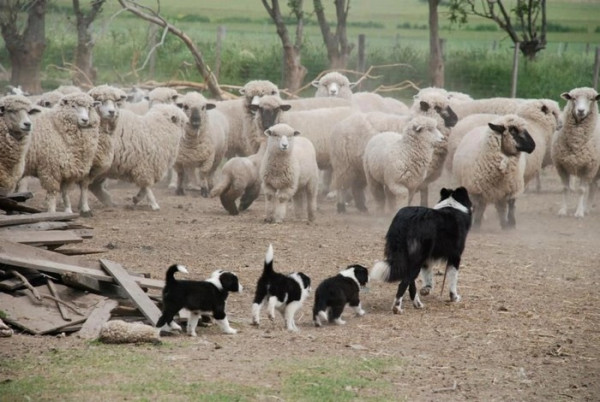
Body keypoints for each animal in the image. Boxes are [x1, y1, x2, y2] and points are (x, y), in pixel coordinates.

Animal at [77, 85, 127, 217]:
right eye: (100, 100)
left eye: (115, 101)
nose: (112, 112)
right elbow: (83, 185)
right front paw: (85, 209)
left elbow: (84, 184)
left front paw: (81, 206)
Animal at [548, 87, 600, 218]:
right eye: (573, 98)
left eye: (591, 99)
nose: (580, 111)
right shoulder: (561, 166)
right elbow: (565, 188)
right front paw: (563, 210)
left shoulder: (588, 167)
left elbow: (581, 190)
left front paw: (579, 212)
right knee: (593, 186)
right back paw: (587, 208)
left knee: (591, 187)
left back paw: (585, 209)